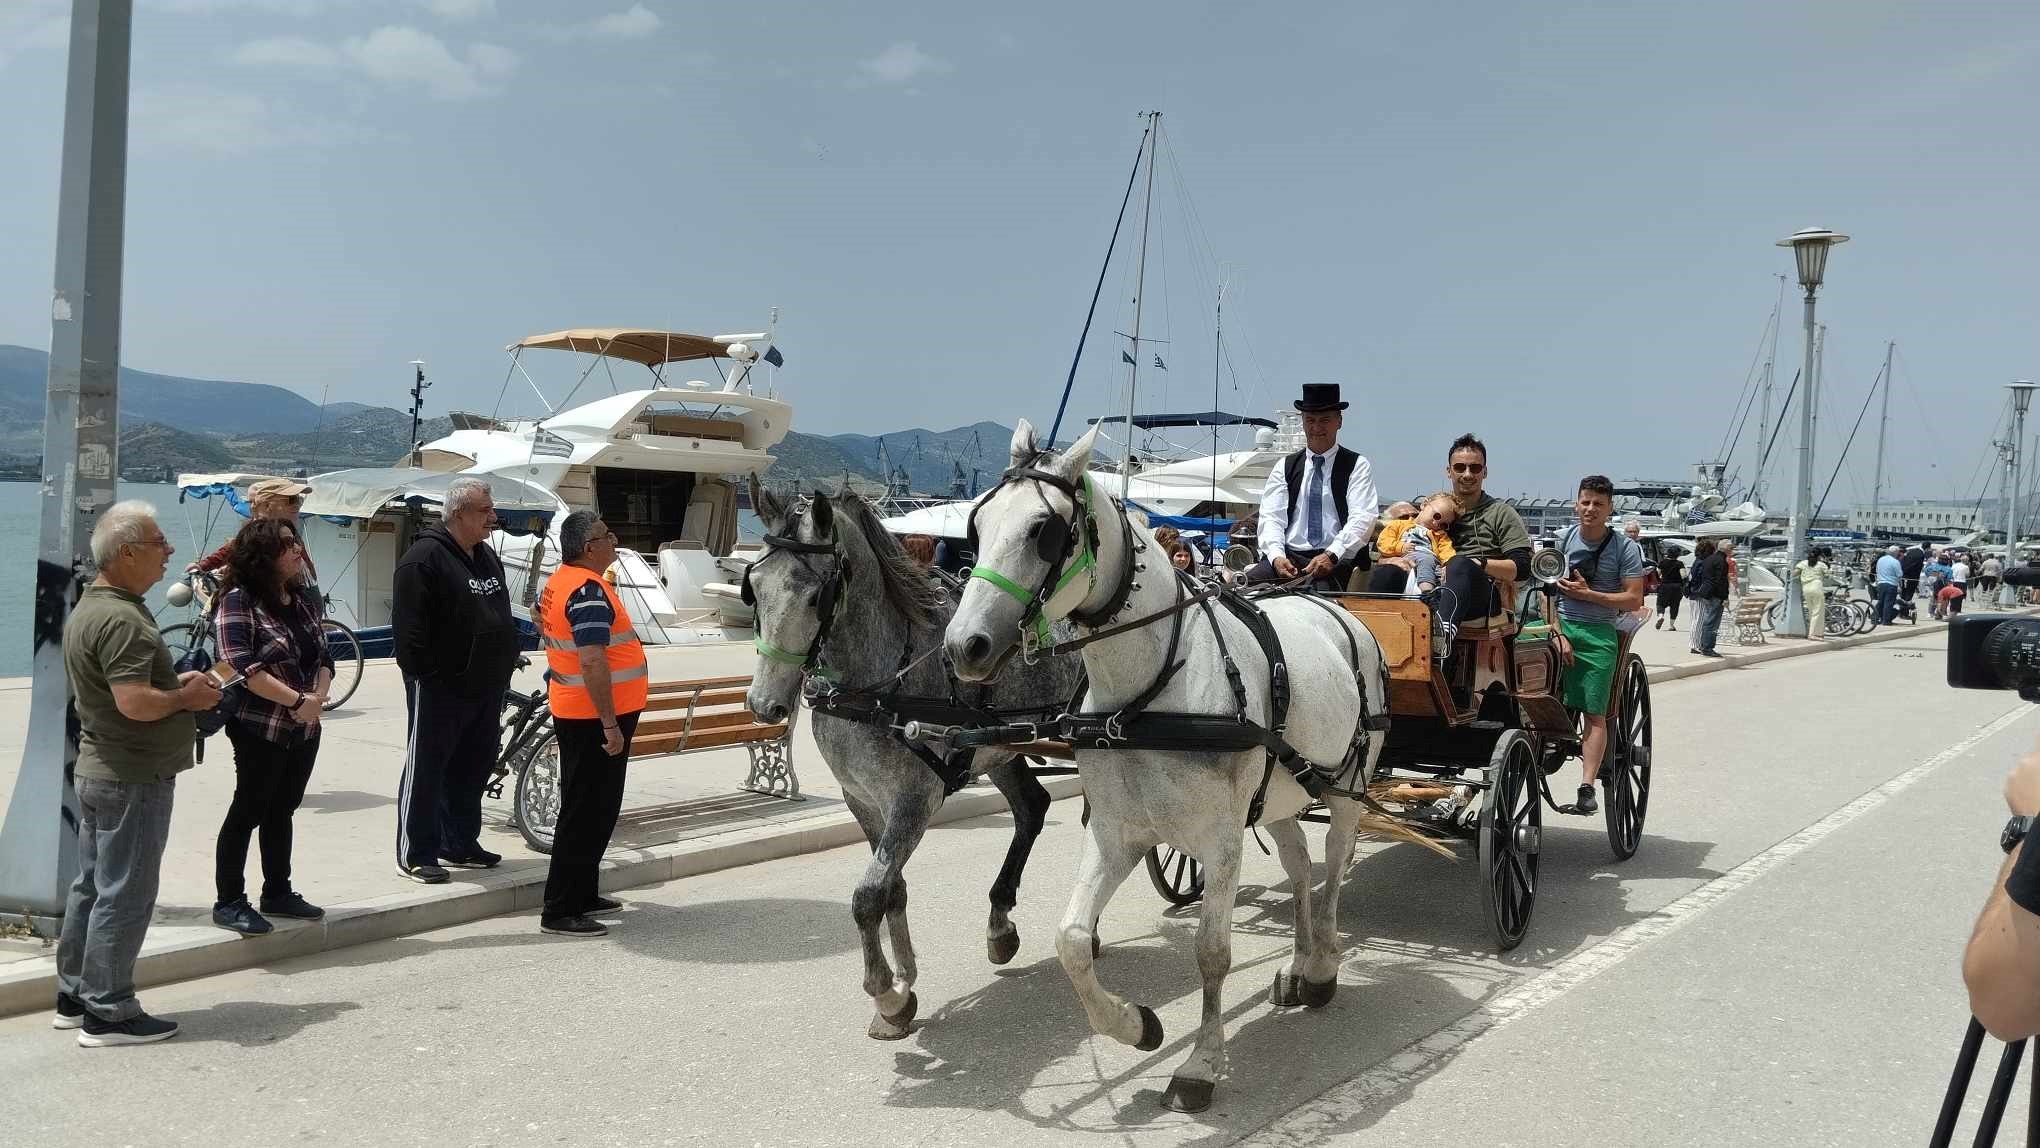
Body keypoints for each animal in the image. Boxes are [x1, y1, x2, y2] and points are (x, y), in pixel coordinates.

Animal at [738, 485, 1085, 1044]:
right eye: (753, 588)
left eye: (815, 597)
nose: (764, 703)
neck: (878, 686)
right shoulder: (861, 799)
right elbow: (891, 888)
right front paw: (903, 983)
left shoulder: (914, 801)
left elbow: (868, 895)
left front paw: (885, 991)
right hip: (1000, 750)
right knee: (1032, 808)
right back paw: (999, 923)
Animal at [934, 422, 1387, 1117]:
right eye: (977, 526)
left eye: (1043, 530)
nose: (965, 646)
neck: (1147, 694)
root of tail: (1337, 612)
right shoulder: (1117, 833)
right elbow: (1071, 940)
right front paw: (1136, 1026)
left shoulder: (1221, 842)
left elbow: (1212, 952)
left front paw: (1200, 1064)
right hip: (1281, 795)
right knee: (1299, 866)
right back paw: (1298, 963)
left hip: (1347, 789)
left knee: (1332, 871)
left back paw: (1321, 969)